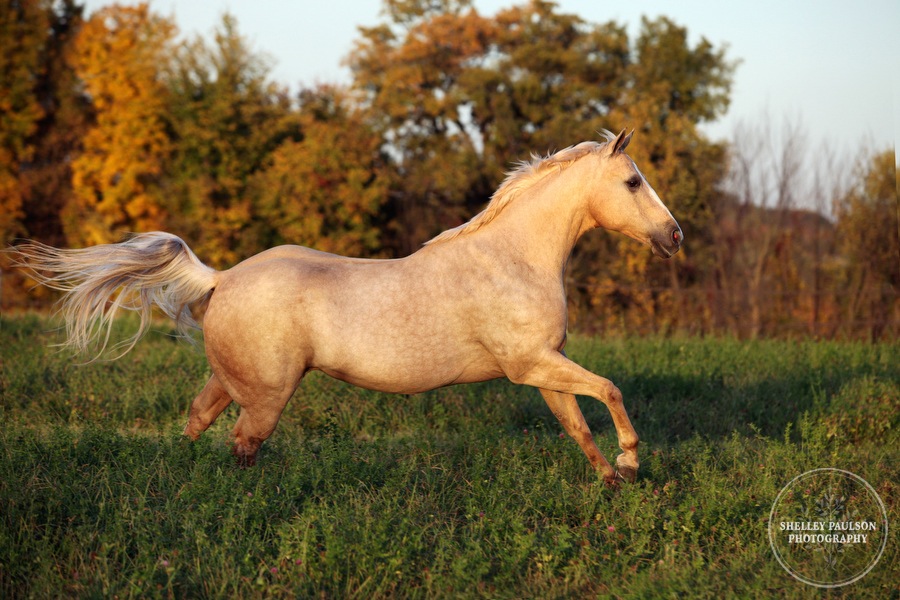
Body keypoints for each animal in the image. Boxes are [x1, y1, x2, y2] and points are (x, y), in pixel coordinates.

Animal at [12, 129, 684, 486]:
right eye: (632, 181)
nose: (674, 235)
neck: (511, 259)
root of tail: (222, 279)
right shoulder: (532, 365)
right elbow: (611, 391)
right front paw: (631, 461)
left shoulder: (543, 368)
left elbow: (577, 424)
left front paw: (613, 482)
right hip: (267, 394)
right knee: (243, 445)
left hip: (230, 381)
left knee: (197, 425)